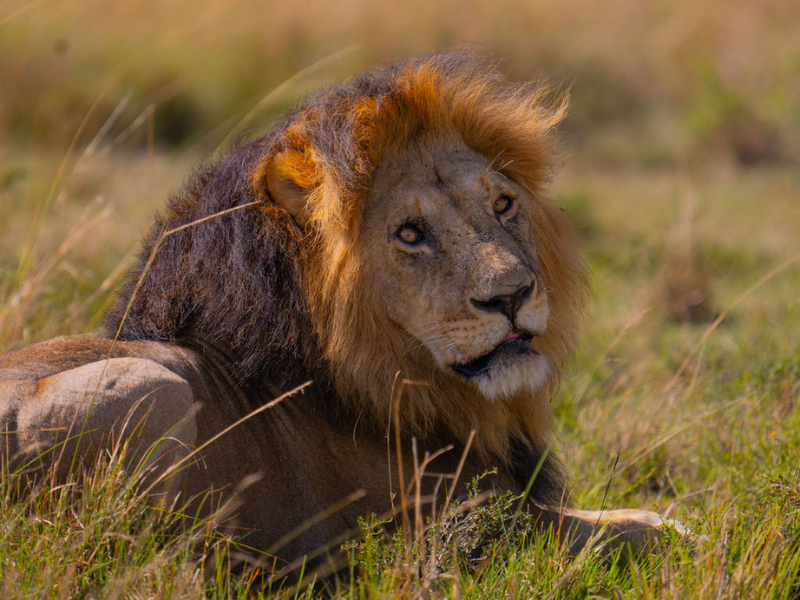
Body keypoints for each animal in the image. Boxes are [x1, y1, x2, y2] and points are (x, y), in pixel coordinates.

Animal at [0, 51, 673, 575]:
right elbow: (643, 528)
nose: (512, 294)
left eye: (504, 204)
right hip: (152, 387)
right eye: (409, 233)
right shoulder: (473, 527)